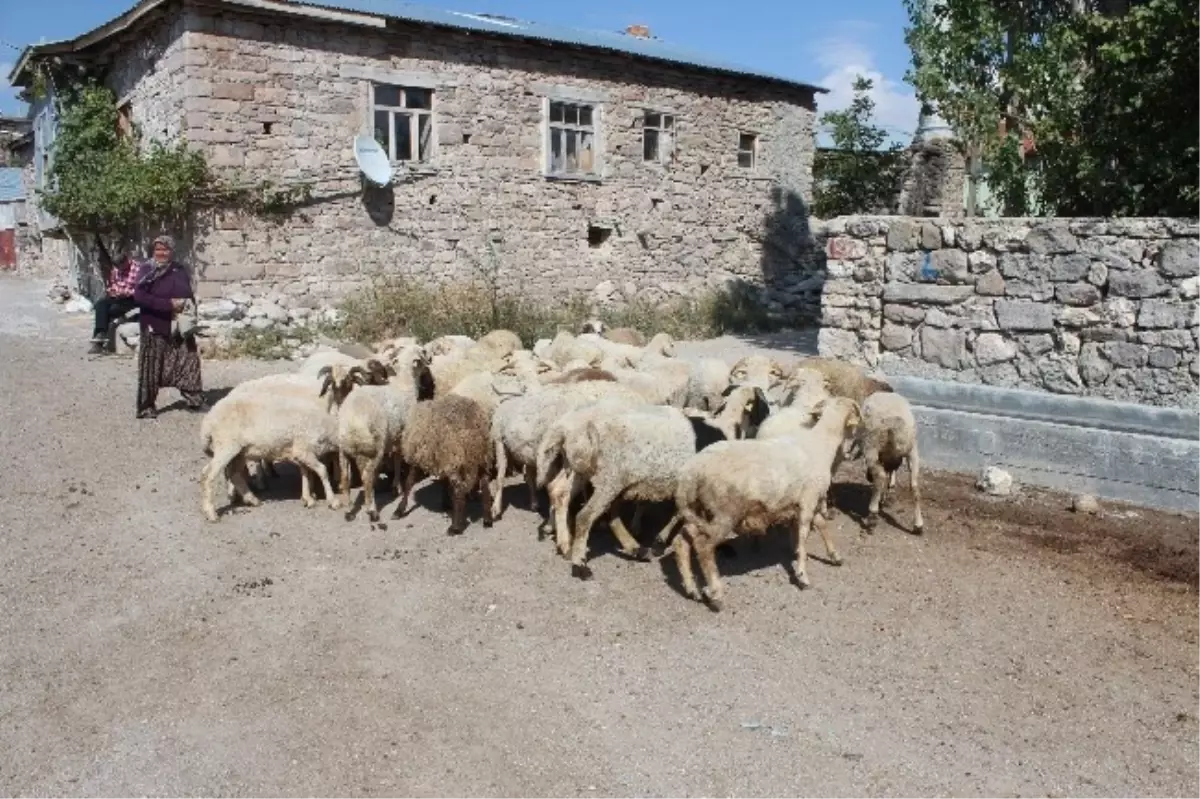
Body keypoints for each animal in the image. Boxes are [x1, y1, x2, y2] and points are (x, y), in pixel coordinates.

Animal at [388, 393, 492, 535]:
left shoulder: (418, 455)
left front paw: (399, 510)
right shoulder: (439, 459)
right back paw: (487, 520)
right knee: (485, 485)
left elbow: (409, 483)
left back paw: (455, 527)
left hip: (454, 456)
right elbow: (444, 482)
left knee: (459, 491)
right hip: (481, 457)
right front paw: (446, 503)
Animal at [667, 395, 864, 607]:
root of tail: (691, 470)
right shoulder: (808, 501)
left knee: (682, 541)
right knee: (703, 546)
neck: (820, 443)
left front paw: (834, 555)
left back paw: (690, 587)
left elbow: (822, 525)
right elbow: (804, 533)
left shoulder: (811, 501)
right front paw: (802, 574)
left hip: (700, 510)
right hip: (724, 512)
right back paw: (716, 592)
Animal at [854, 388, 926, 532]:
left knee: (880, 477)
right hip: (912, 451)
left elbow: (884, 477)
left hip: (872, 446)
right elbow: (890, 474)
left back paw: (872, 515)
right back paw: (918, 525)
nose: (868, 477)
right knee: (914, 486)